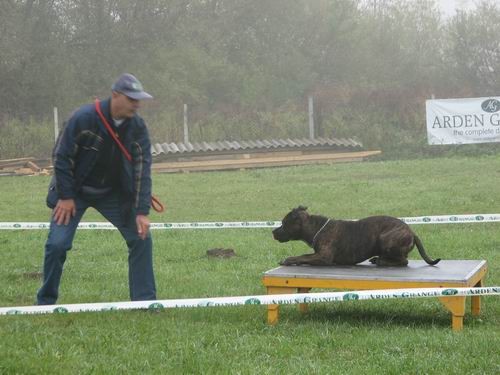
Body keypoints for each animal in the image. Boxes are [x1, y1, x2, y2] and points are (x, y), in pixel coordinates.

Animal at [272, 209, 440, 268]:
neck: (316, 227)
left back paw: (382, 261)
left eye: (284, 223)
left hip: (386, 238)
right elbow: (305, 255)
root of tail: (411, 232)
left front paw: (288, 260)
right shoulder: (317, 254)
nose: (273, 231)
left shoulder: (323, 257)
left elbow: (301, 256)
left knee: (403, 261)